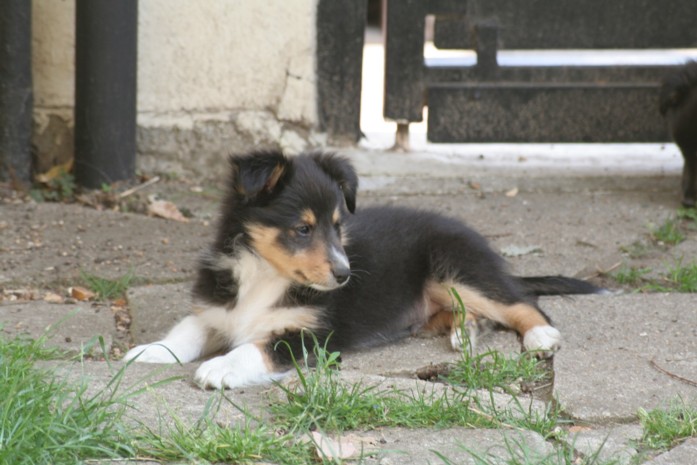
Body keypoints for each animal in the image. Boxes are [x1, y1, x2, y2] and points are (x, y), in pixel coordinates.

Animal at [123, 151, 600, 388]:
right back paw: (464, 334)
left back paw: (541, 336)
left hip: (456, 267)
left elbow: (258, 348)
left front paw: (220, 368)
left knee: (521, 300)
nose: (344, 275)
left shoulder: (311, 334)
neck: (264, 275)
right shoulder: (218, 309)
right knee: (476, 313)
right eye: (303, 229)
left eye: (338, 226)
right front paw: (149, 351)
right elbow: (186, 330)